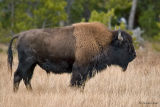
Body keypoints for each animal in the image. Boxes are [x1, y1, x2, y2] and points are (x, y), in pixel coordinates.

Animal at [7, 22, 135, 92]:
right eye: (126, 44)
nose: (134, 55)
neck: (101, 41)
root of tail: (20, 35)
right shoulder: (80, 69)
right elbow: (76, 83)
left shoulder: (86, 71)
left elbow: (81, 84)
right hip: (26, 62)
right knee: (18, 76)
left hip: (32, 64)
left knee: (26, 78)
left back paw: (31, 92)